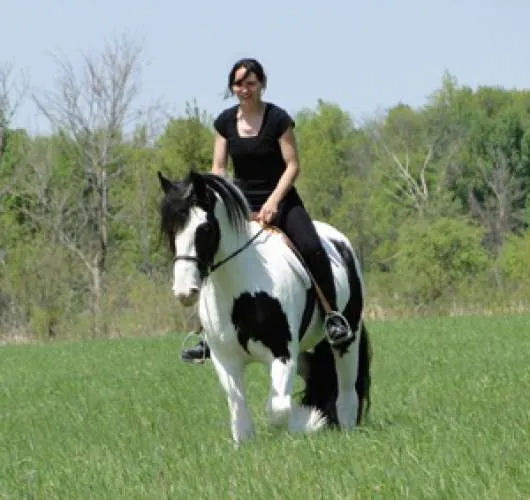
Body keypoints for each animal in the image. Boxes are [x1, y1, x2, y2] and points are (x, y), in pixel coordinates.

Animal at [159, 170, 370, 444]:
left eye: (204, 228)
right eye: (170, 229)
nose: (184, 291)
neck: (240, 291)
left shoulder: (282, 354)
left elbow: (277, 409)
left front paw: (306, 423)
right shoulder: (226, 359)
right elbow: (238, 408)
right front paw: (245, 443)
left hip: (347, 338)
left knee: (346, 388)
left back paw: (344, 425)